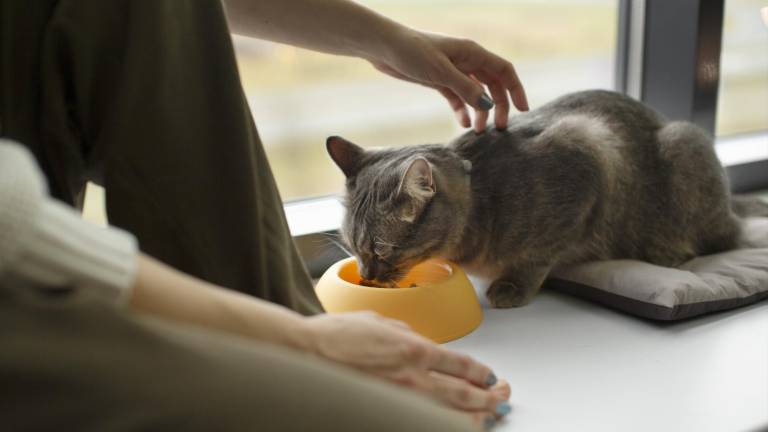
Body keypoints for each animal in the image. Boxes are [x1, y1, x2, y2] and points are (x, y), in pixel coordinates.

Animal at [324, 90, 756, 308]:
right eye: (353, 247)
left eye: (382, 249)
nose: (366, 275)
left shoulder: (588, 154)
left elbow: (537, 256)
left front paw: (512, 286)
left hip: (684, 143)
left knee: (719, 237)